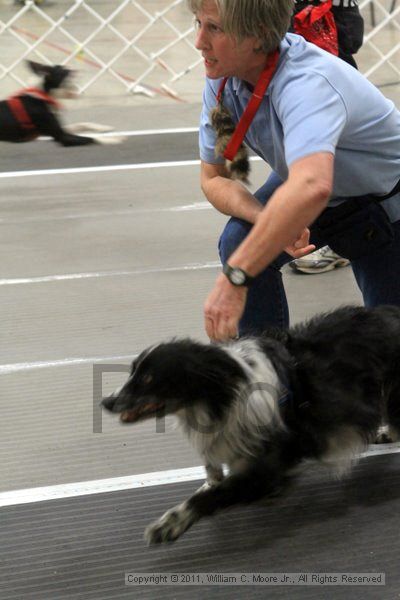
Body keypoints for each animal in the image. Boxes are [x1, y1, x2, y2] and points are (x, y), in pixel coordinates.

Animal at [102, 304, 400, 544]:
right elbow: (212, 481)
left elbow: (209, 497)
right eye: (132, 372)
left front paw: (170, 523)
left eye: (149, 378)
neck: (220, 401)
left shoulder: (264, 468)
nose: (106, 401)